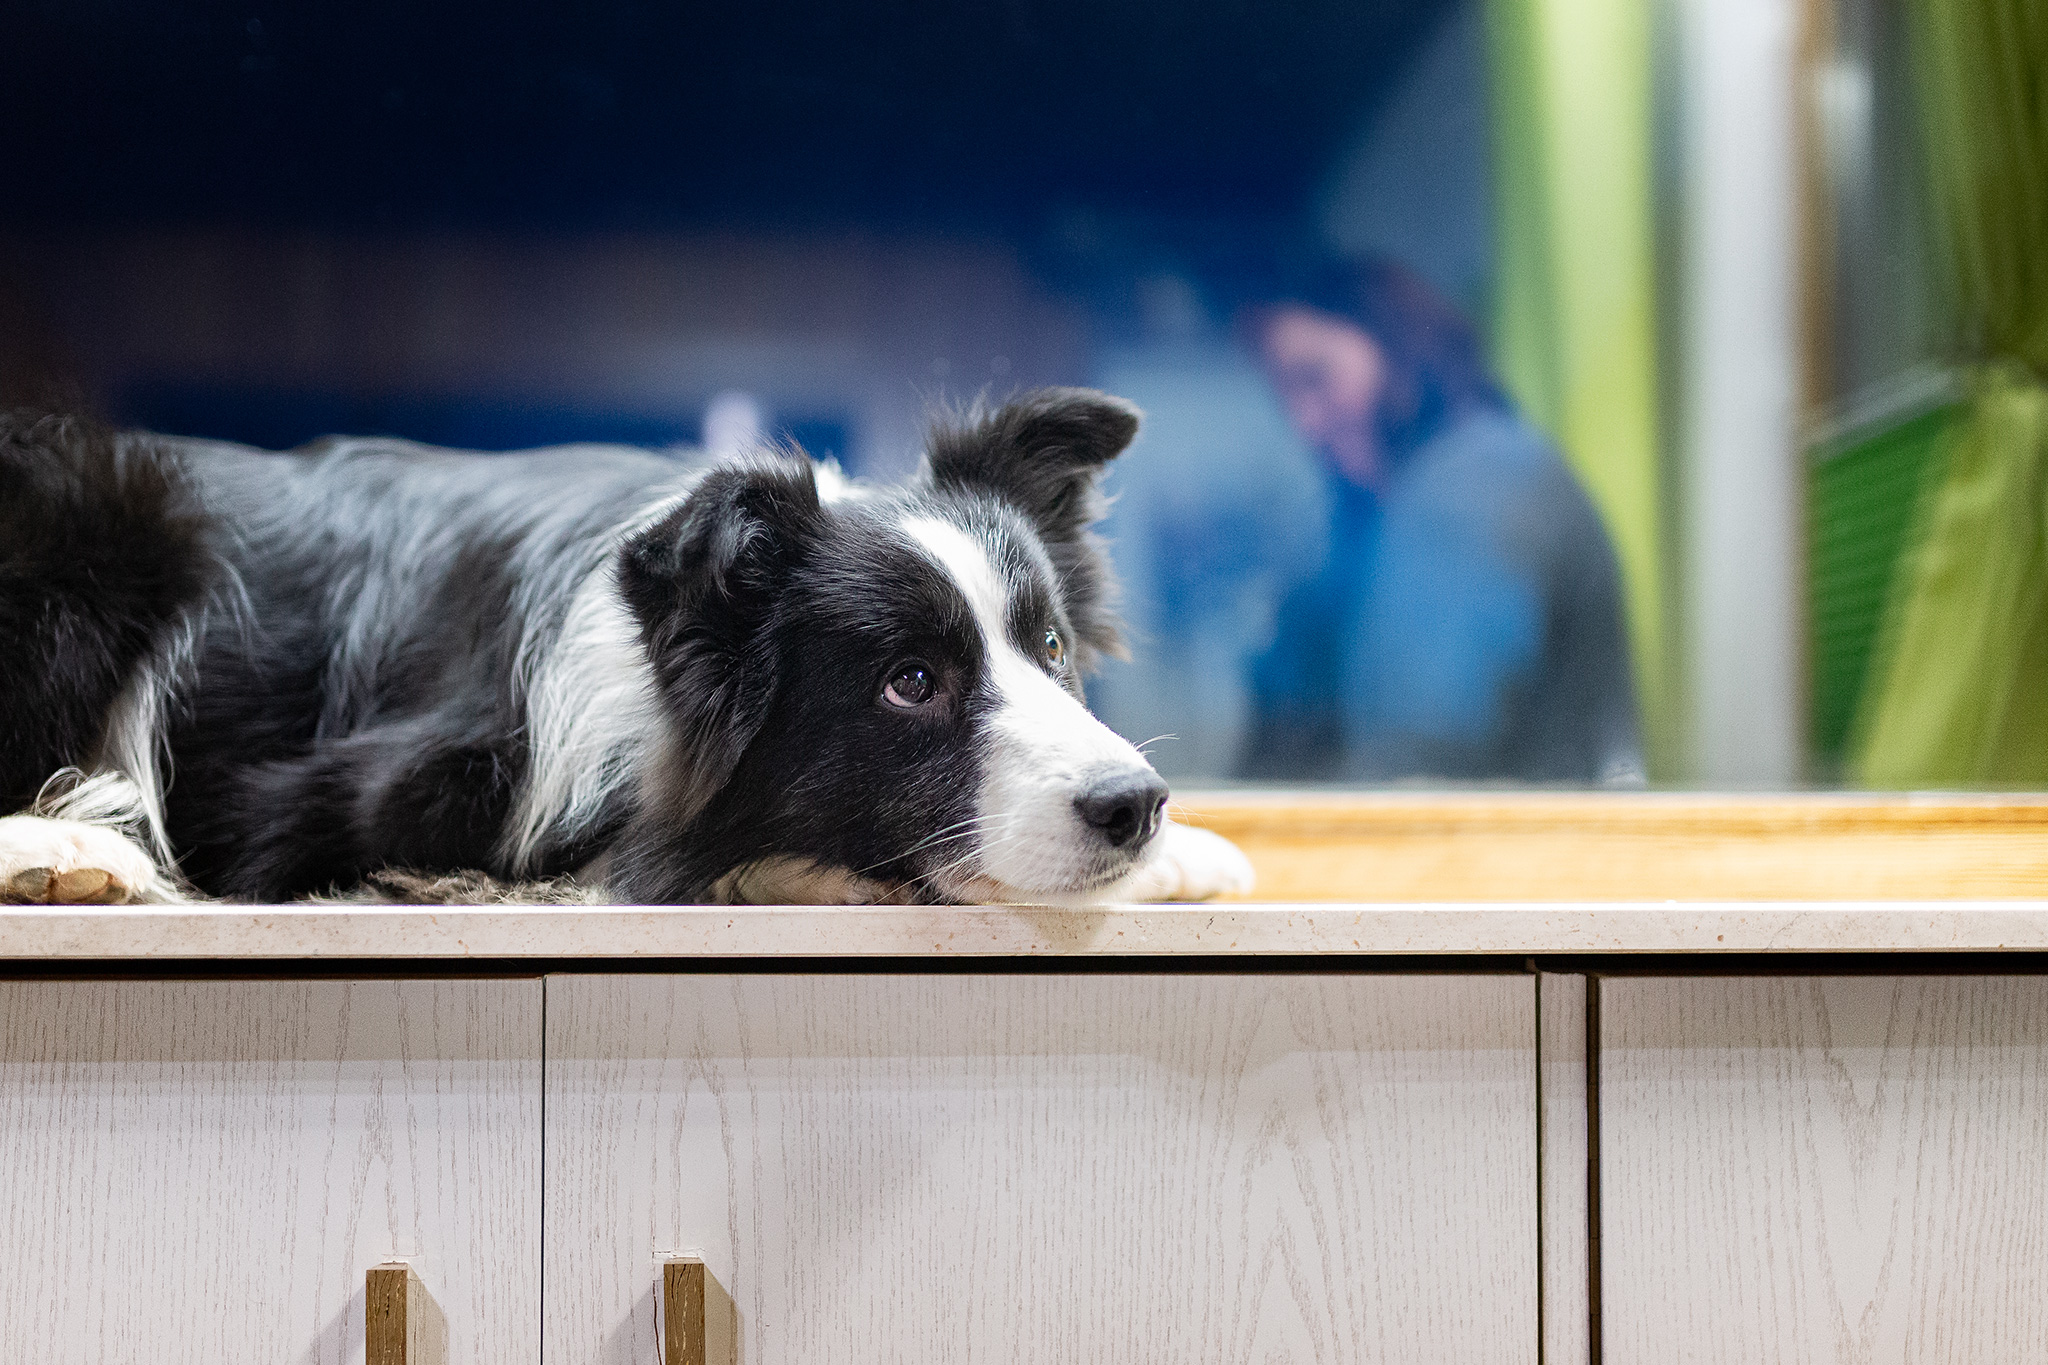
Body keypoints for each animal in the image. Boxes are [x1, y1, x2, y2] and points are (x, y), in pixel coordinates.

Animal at [0, 392, 1245, 908]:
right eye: (910, 683)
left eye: (1051, 645)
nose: (1133, 806)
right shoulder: (320, 804)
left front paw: (1191, 850)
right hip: (97, 539)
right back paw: (66, 851)